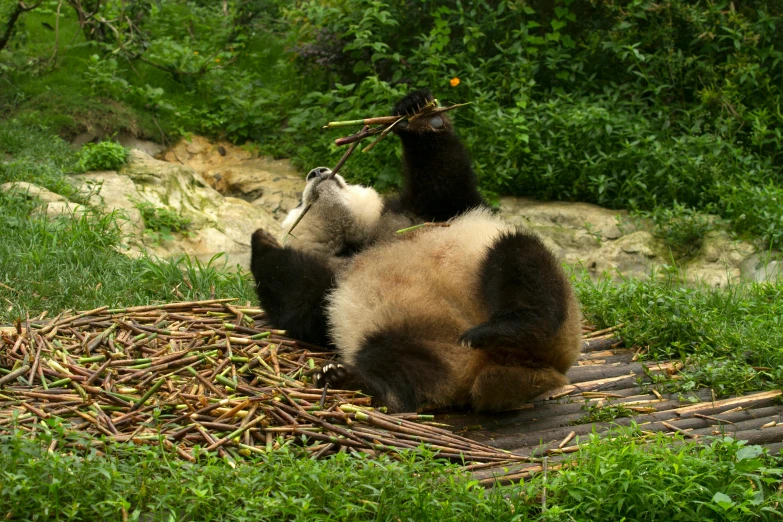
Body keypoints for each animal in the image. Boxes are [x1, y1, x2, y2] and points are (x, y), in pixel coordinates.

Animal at [251, 89, 580, 410]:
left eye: (343, 179)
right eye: (299, 202)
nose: (317, 171)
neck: (357, 243)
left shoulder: (417, 215)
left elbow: (444, 179)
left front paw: (416, 111)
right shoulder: (332, 281)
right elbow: (299, 304)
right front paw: (262, 241)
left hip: (531, 295)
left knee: (521, 261)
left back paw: (515, 326)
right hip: (403, 333)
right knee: (397, 366)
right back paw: (349, 379)